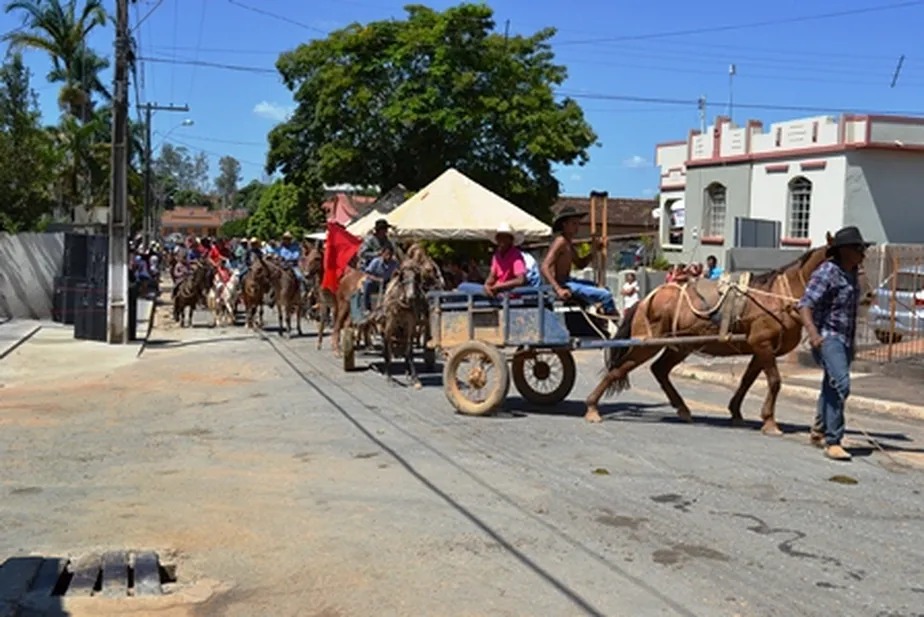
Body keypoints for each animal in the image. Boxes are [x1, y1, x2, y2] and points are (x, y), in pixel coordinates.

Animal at [588, 238, 832, 430]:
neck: (776, 298)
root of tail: (646, 299)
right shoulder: (762, 344)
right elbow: (774, 381)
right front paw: (770, 422)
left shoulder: (759, 348)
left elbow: (747, 380)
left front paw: (736, 412)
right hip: (647, 344)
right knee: (618, 370)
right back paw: (592, 407)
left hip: (681, 346)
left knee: (659, 369)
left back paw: (683, 409)